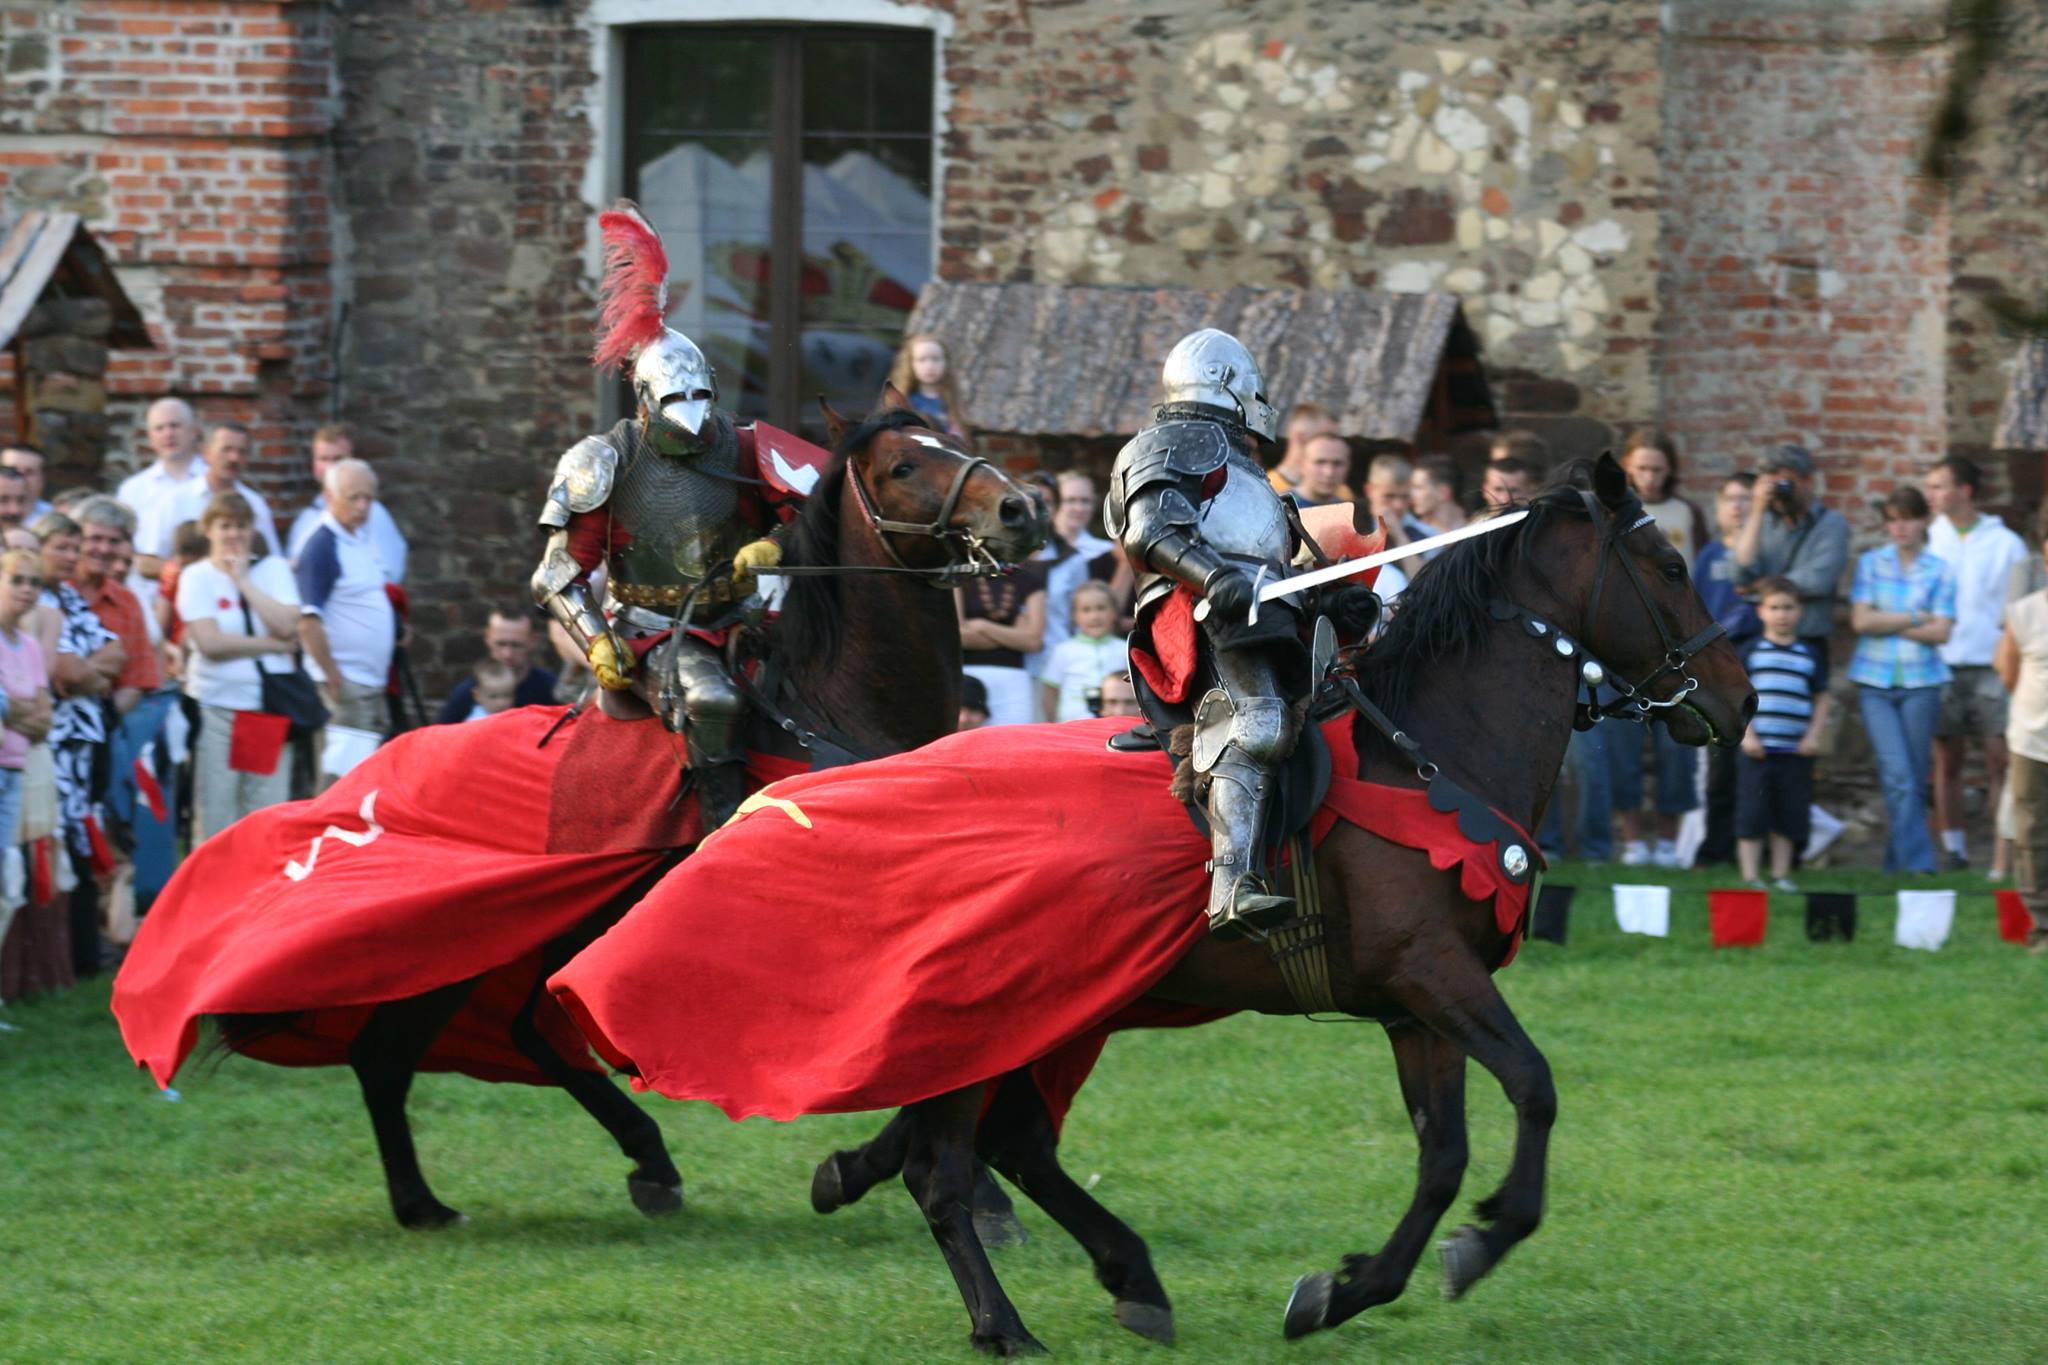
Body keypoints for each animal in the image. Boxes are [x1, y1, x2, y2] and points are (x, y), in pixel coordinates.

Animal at [115, 386, 1047, 1231]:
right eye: (901, 466)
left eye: (950, 438)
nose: (1021, 509)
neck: (831, 708)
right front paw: (868, 1174)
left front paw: (971, 1186)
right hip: (456, 942)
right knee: (391, 1052)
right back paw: (426, 1202)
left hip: (537, 936)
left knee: (510, 1032)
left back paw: (634, 1164)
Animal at [549, 453, 1755, 1353]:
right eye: (1663, 560)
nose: (1739, 702)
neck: (1430, 750)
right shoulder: (1436, 978)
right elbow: (1535, 1090)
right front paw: (1485, 1237)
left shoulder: (1414, 1008)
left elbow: (1442, 1156)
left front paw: (1347, 1287)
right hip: (986, 1011)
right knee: (951, 1164)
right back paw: (1005, 1325)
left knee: (999, 1147)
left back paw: (1106, 1272)